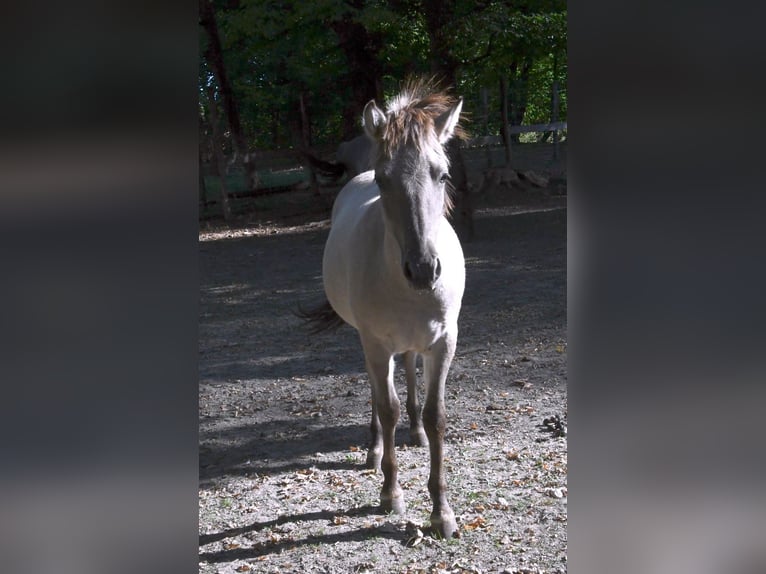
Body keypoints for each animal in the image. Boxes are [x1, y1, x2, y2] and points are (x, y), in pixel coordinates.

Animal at [301, 79, 465, 539]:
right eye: (383, 178)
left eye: (443, 174)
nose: (424, 269)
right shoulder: (374, 343)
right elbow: (386, 405)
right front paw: (391, 494)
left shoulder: (444, 342)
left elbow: (436, 415)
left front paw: (442, 512)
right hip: (369, 342)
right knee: (379, 393)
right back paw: (375, 450)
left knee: (407, 369)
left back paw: (416, 433)